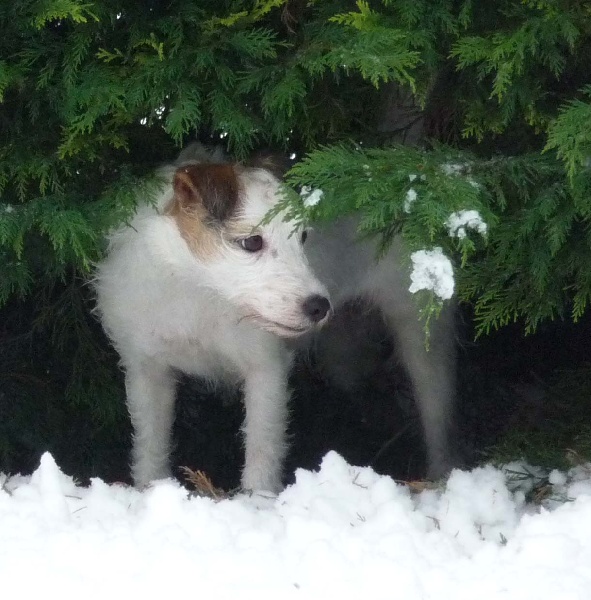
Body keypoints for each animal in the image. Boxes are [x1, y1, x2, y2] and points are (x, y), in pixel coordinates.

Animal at [95, 146, 458, 492]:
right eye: (251, 241)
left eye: (304, 237)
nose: (319, 306)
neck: (199, 292)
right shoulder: (146, 371)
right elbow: (150, 445)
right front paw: (149, 489)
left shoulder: (265, 370)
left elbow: (262, 449)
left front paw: (259, 500)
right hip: (346, 353)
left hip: (422, 336)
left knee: (437, 417)